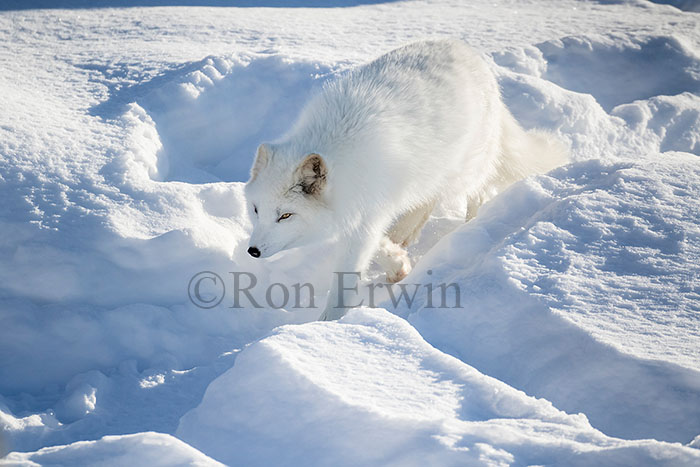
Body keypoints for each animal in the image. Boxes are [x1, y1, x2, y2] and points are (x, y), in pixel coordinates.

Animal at [243, 40, 568, 322]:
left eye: (286, 215)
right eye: (256, 210)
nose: (252, 251)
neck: (337, 153)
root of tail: (467, 50)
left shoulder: (366, 211)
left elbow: (347, 278)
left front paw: (327, 325)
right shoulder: (361, 211)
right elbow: (378, 243)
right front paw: (398, 262)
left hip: (465, 168)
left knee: (478, 190)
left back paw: (472, 226)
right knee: (427, 199)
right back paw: (406, 233)